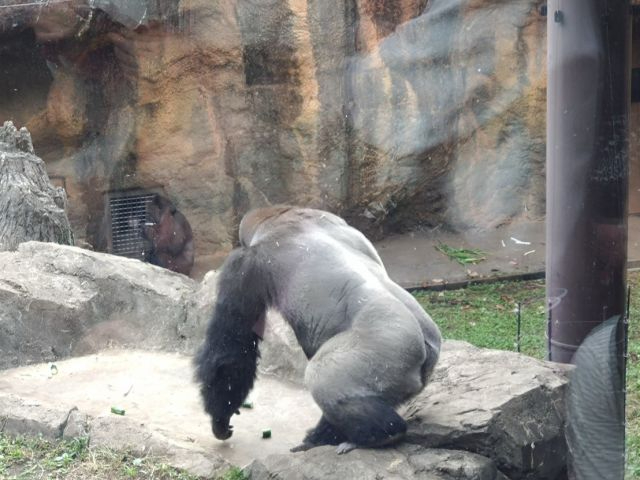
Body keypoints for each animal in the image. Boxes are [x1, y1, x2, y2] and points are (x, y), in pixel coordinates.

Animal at [194, 206, 441, 454]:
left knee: (321, 376)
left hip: (388, 345)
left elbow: (232, 347)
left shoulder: (245, 265)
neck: (282, 218)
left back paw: (381, 434)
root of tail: (425, 347)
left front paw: (220, 418)